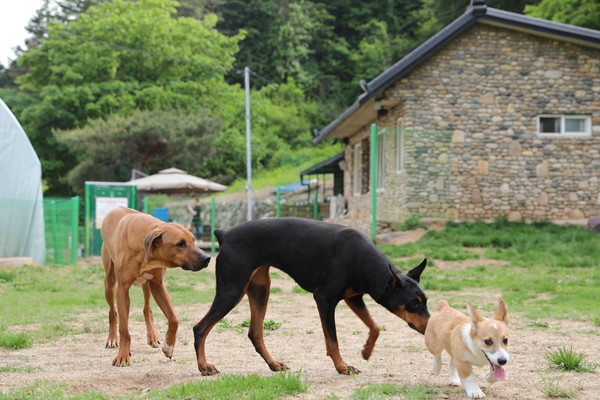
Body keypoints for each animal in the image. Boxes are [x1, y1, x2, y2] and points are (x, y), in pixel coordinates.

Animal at [103, 208, 213, 368]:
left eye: (193, 240)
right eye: (180, 244)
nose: (207, 258)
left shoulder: (158, 284)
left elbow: (174, 319)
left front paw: (169, 347)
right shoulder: (122, 289)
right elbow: (124, 330)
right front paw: (123, 356)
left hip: (147, 284)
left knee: (147, 308)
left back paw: (153, 336)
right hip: (109, 283)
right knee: (113, 311)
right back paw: (112, 338)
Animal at [195, 216, 428, 376]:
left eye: (425, 301)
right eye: (413, 303)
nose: (430, 326)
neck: (360, 258)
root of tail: (224, 234)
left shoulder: (353, 297)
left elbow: (375, 327)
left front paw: (366, 351)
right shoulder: (324, 298)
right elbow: (332, 340)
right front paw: (342, 366)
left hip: (260, 289)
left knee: (255, 333)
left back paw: (273, 364)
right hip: (232, 291)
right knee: (200, 328)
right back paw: (204, 366)